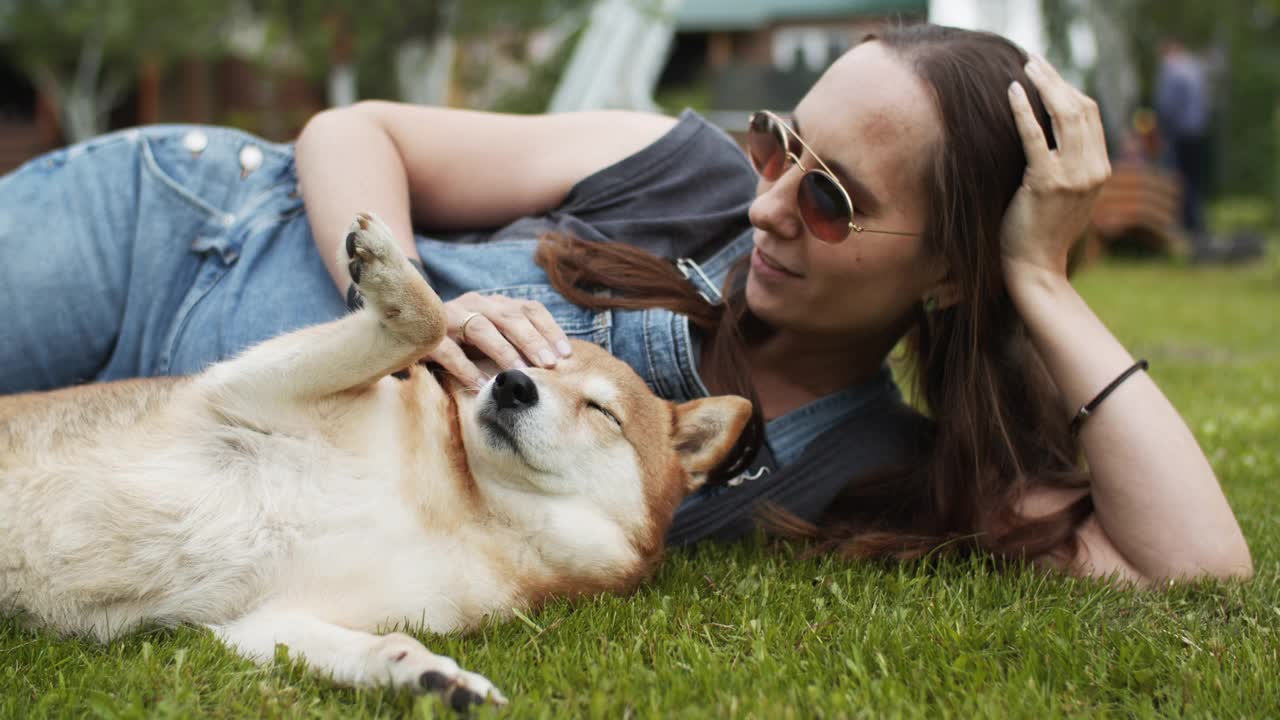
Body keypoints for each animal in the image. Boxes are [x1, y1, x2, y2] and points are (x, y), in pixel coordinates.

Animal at [0, 210, 747, 707]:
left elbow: (386, 647)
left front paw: (430, 679)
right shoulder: (239, 391)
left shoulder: (263, 620)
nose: (512, 385)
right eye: (513, 361)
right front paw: (395, 276)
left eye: (600, 410)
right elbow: (429, 321)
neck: (464, 506)